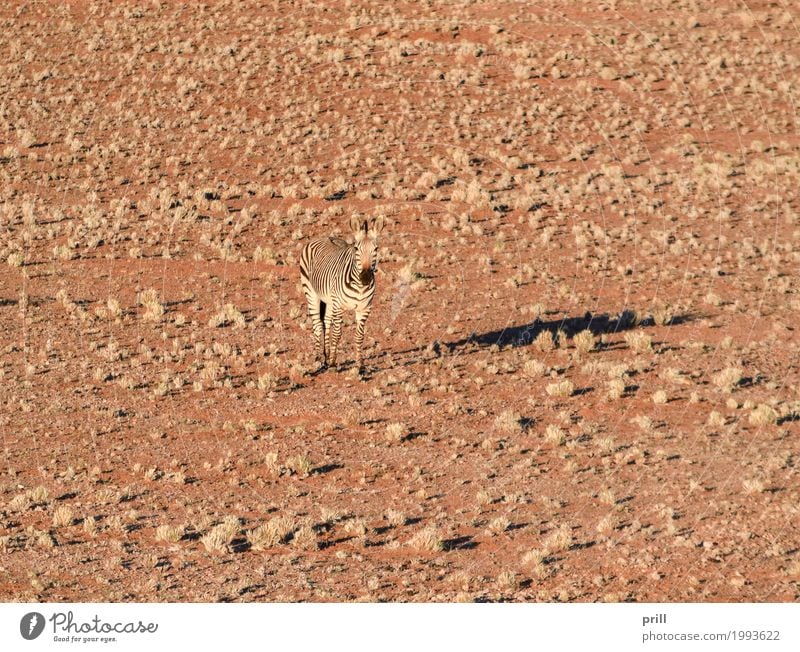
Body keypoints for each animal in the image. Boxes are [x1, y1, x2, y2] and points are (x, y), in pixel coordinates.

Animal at [302, 216, 386, 374]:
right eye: (356, 249)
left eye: (376, 249)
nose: (365, 278)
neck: (359, 287)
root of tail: (324, 237)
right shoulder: (339, 306)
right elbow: (337, 333)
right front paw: (334, 363)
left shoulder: (364, 309)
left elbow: (359, 336)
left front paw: (360, 366)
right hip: (311, 293)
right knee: (317, 324)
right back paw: (319, 360)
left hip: (329, 300)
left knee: (326, 321)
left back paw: (326, 356)